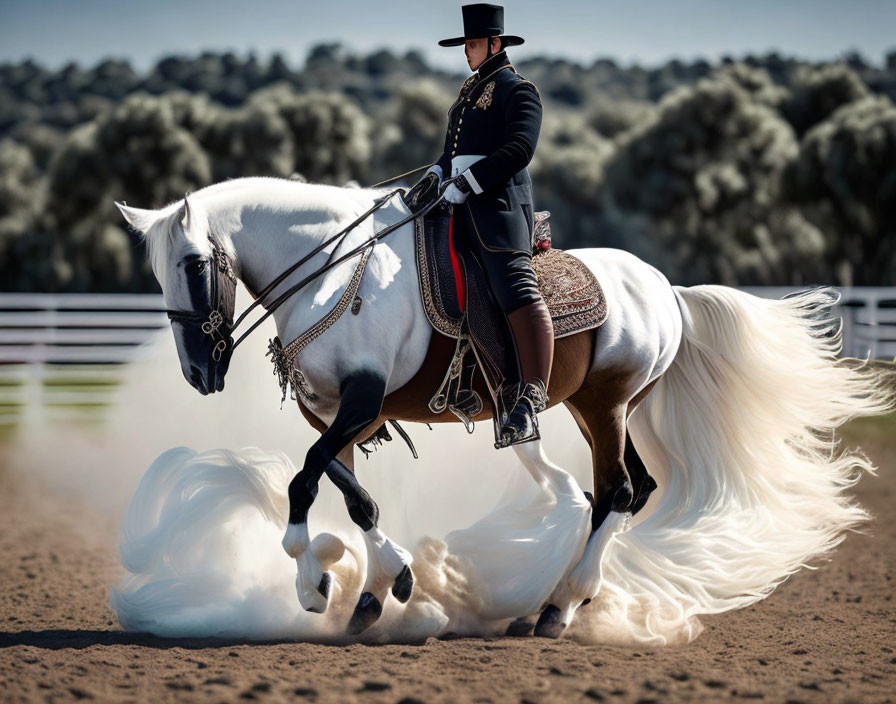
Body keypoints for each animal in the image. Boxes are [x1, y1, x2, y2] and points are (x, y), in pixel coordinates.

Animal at [115, 176, 892, 640]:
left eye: (192, 264)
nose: (198, 372)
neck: (335, 274)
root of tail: (667, 290)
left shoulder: (360, 402)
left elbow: (305, 482)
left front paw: (314, 580)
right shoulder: (339, 414)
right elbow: (351, 493)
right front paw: (377, 586)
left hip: (607, 405)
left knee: (615, 491)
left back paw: (558, 607)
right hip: (589, 408)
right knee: (630, 489)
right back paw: (554, 603)